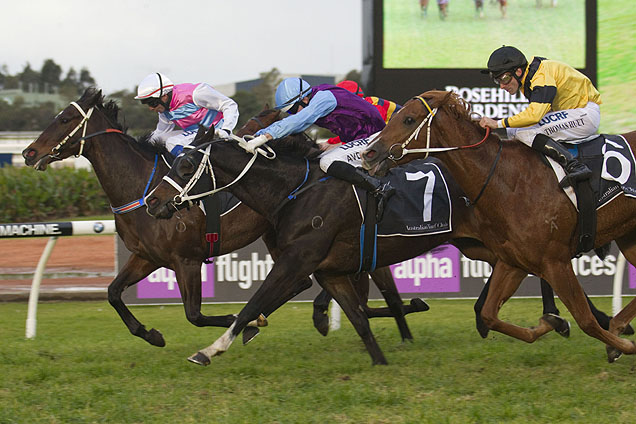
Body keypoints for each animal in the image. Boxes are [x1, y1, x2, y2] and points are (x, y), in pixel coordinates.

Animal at [360, 89, 636, 362]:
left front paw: (623, 345)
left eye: (408, 119)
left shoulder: (555, 261)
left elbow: (586, 320)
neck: (507, 180)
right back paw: (618, 324)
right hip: (628, 237)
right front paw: (549, 323)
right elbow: (489, 314)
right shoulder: (514, 261)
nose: (368, 154)